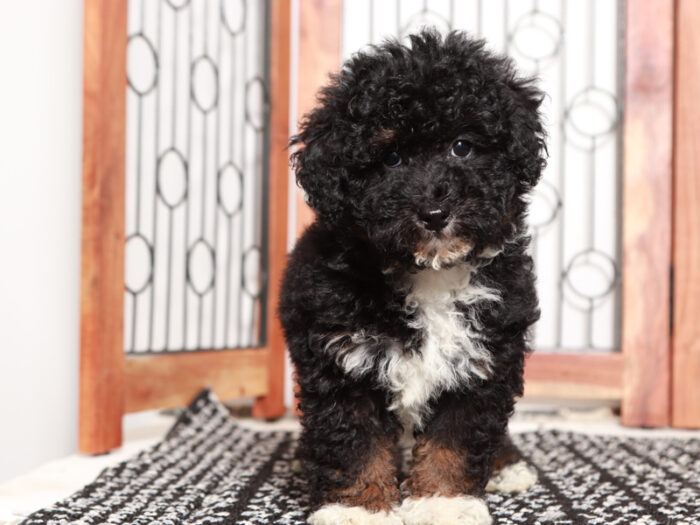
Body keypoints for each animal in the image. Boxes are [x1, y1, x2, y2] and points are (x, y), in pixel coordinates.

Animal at [282, 29, 544, 524]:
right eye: (391, 158)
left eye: (462, 146)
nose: (435, 213)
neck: (428, 272)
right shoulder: (341, 357)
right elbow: (354, 439)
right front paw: (357, 508)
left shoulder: (483, 357)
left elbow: (456, 438)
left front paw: (445, 502)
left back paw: (508, 465)